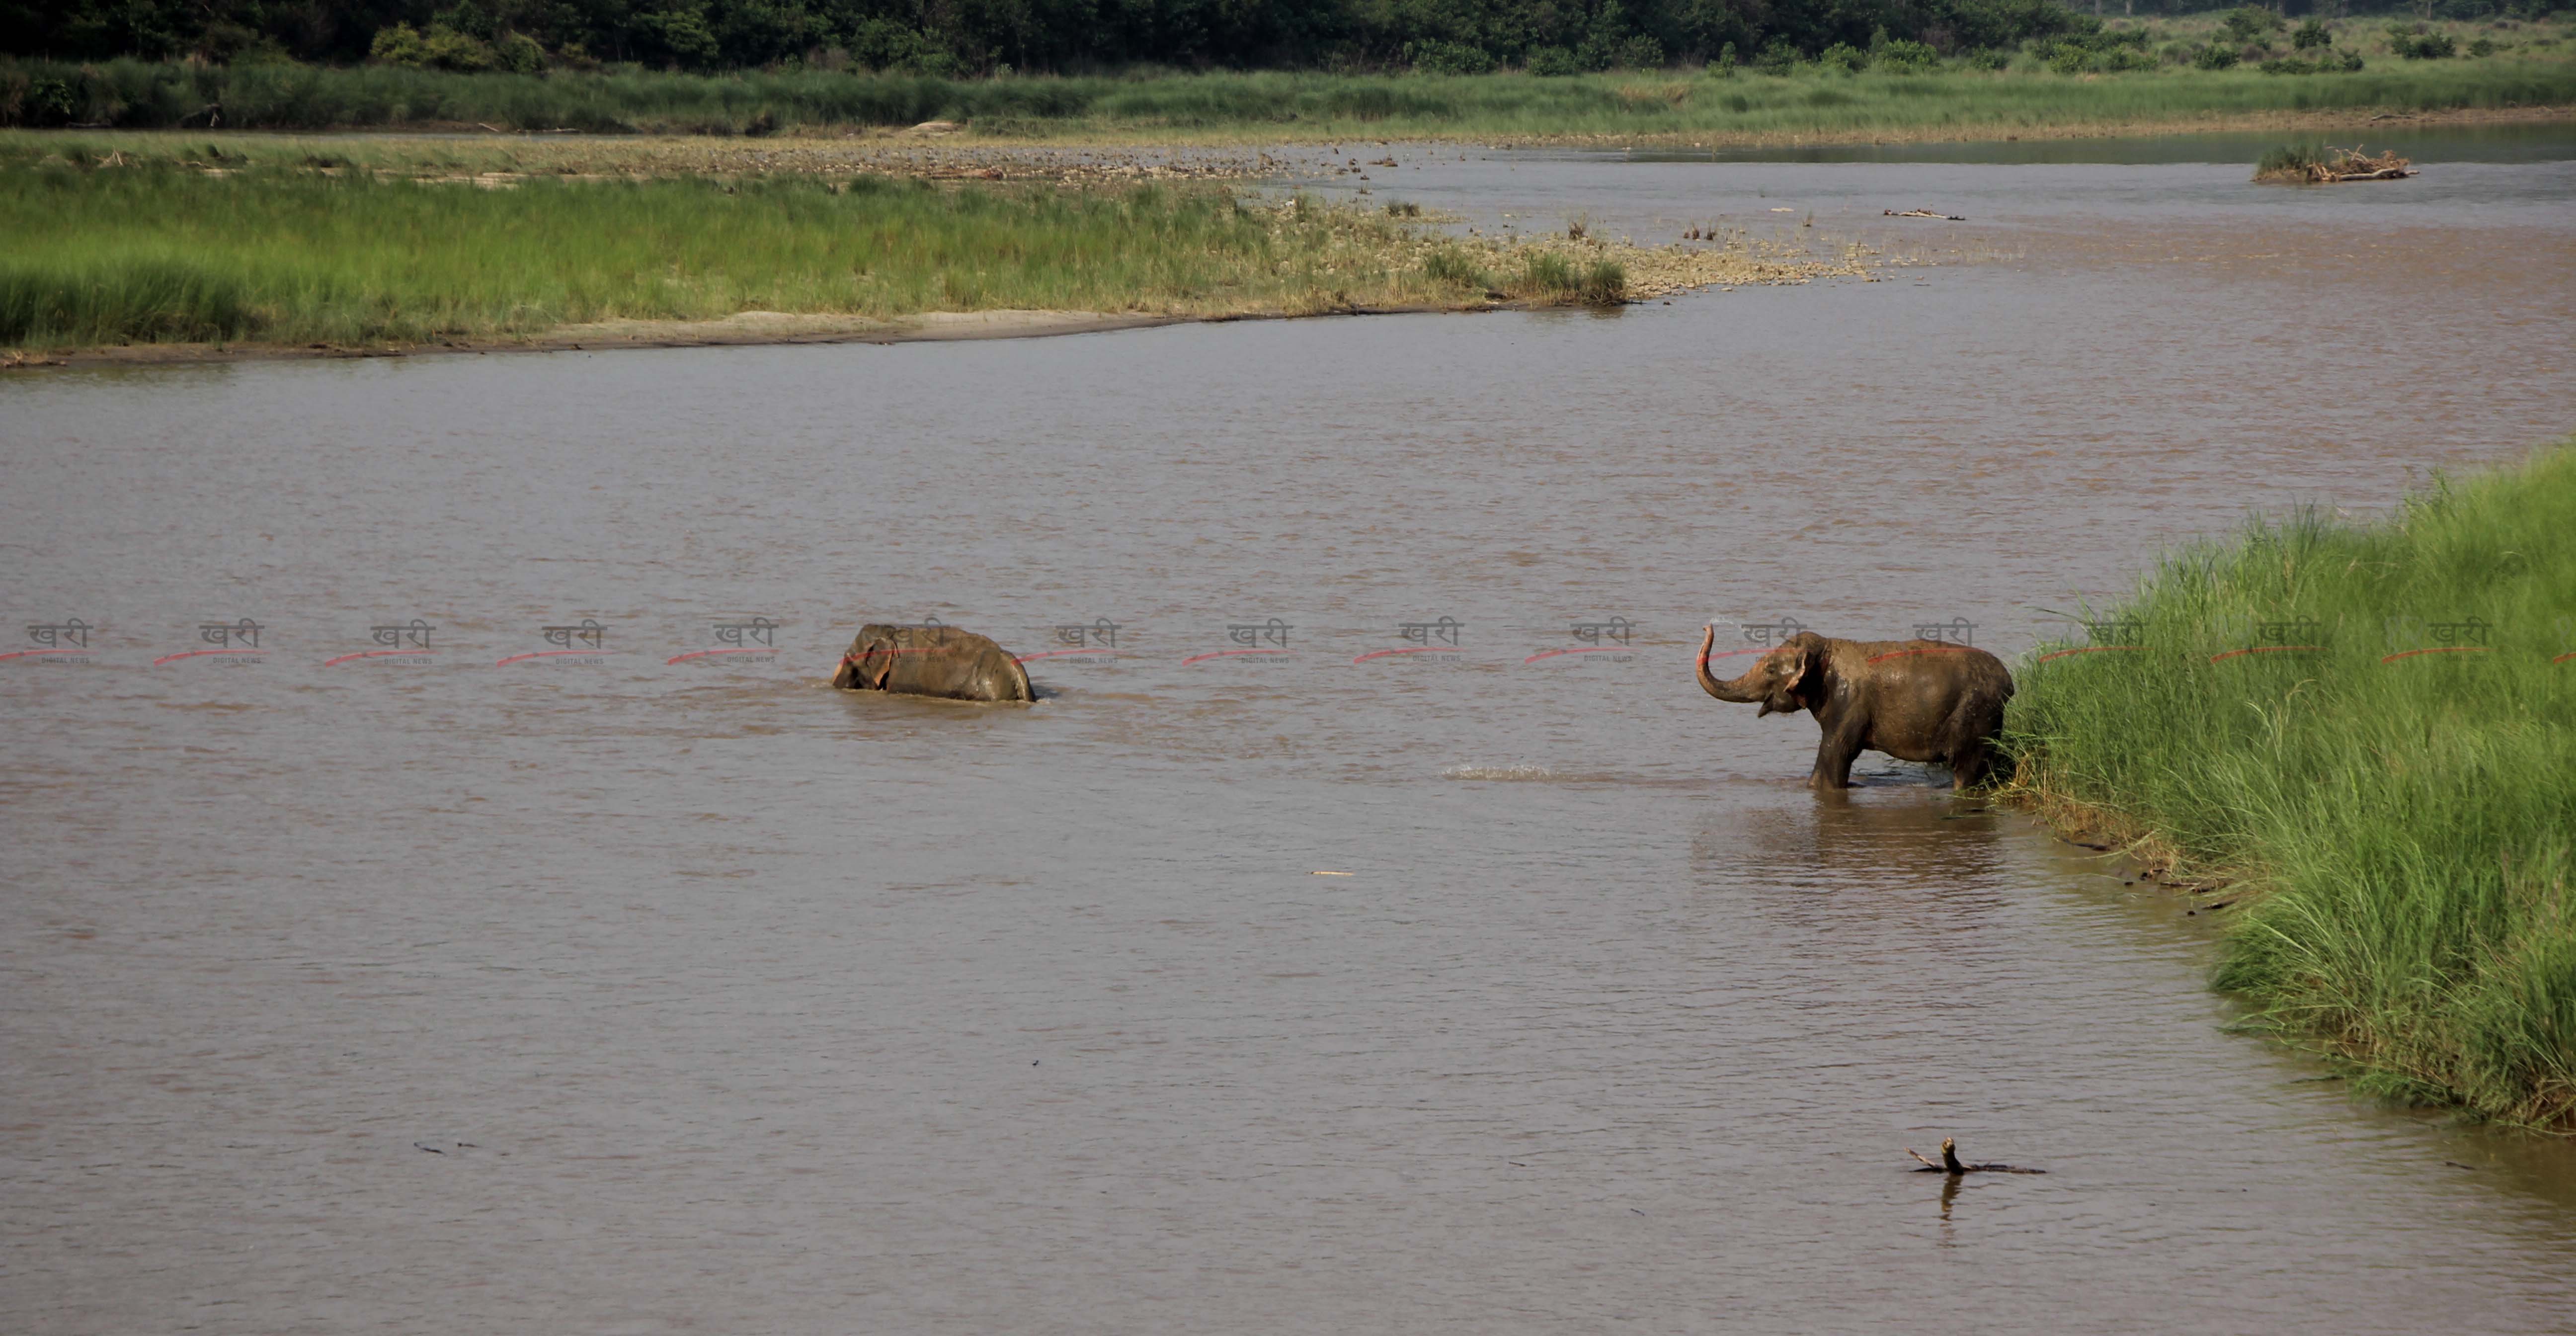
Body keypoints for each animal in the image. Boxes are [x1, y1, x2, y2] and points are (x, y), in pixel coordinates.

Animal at [1700, 630, 2019, 793]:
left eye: (1769, 670)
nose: (1707, 628)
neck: (1827, 648)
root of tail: (2009, 682)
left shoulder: (1849, 702)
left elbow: (1835, 753)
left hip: (1976, 714)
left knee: (1967, 770)